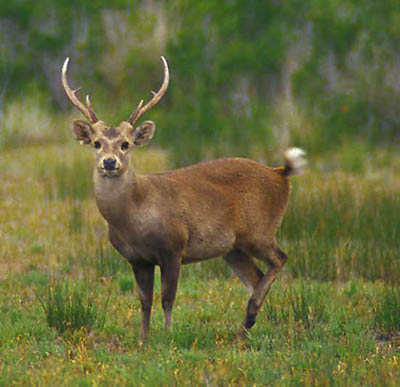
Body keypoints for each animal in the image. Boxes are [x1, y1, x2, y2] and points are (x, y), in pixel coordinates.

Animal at [61, 56, 306, 342]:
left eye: (125, 144)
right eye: (97, 143)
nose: (110, 162)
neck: (134, 217)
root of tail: (280, 173)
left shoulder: (173, 247)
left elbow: (167, 298)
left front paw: (168, 335)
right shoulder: (137, 259)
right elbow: (145, 301)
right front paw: (143, 339)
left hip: (259, 230)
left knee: (280, 258)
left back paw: (250, 314)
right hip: (232, 247)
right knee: (256, 277)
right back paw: (243, 329)